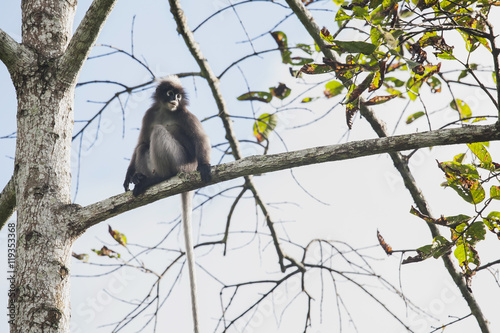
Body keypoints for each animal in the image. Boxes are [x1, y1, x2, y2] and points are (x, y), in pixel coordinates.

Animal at [126, 75, 212, 332]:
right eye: (169, 94)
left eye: (178, 95)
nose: (175, 99)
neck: (167, 111)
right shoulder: (150, 113)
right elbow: (140, 141)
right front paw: (128, 176)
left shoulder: (185, 115)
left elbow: (200, 139)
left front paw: (207, 166)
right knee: (145, 145)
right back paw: (141, 180)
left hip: (180, 161)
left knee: (158, 133)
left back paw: (160, 178)